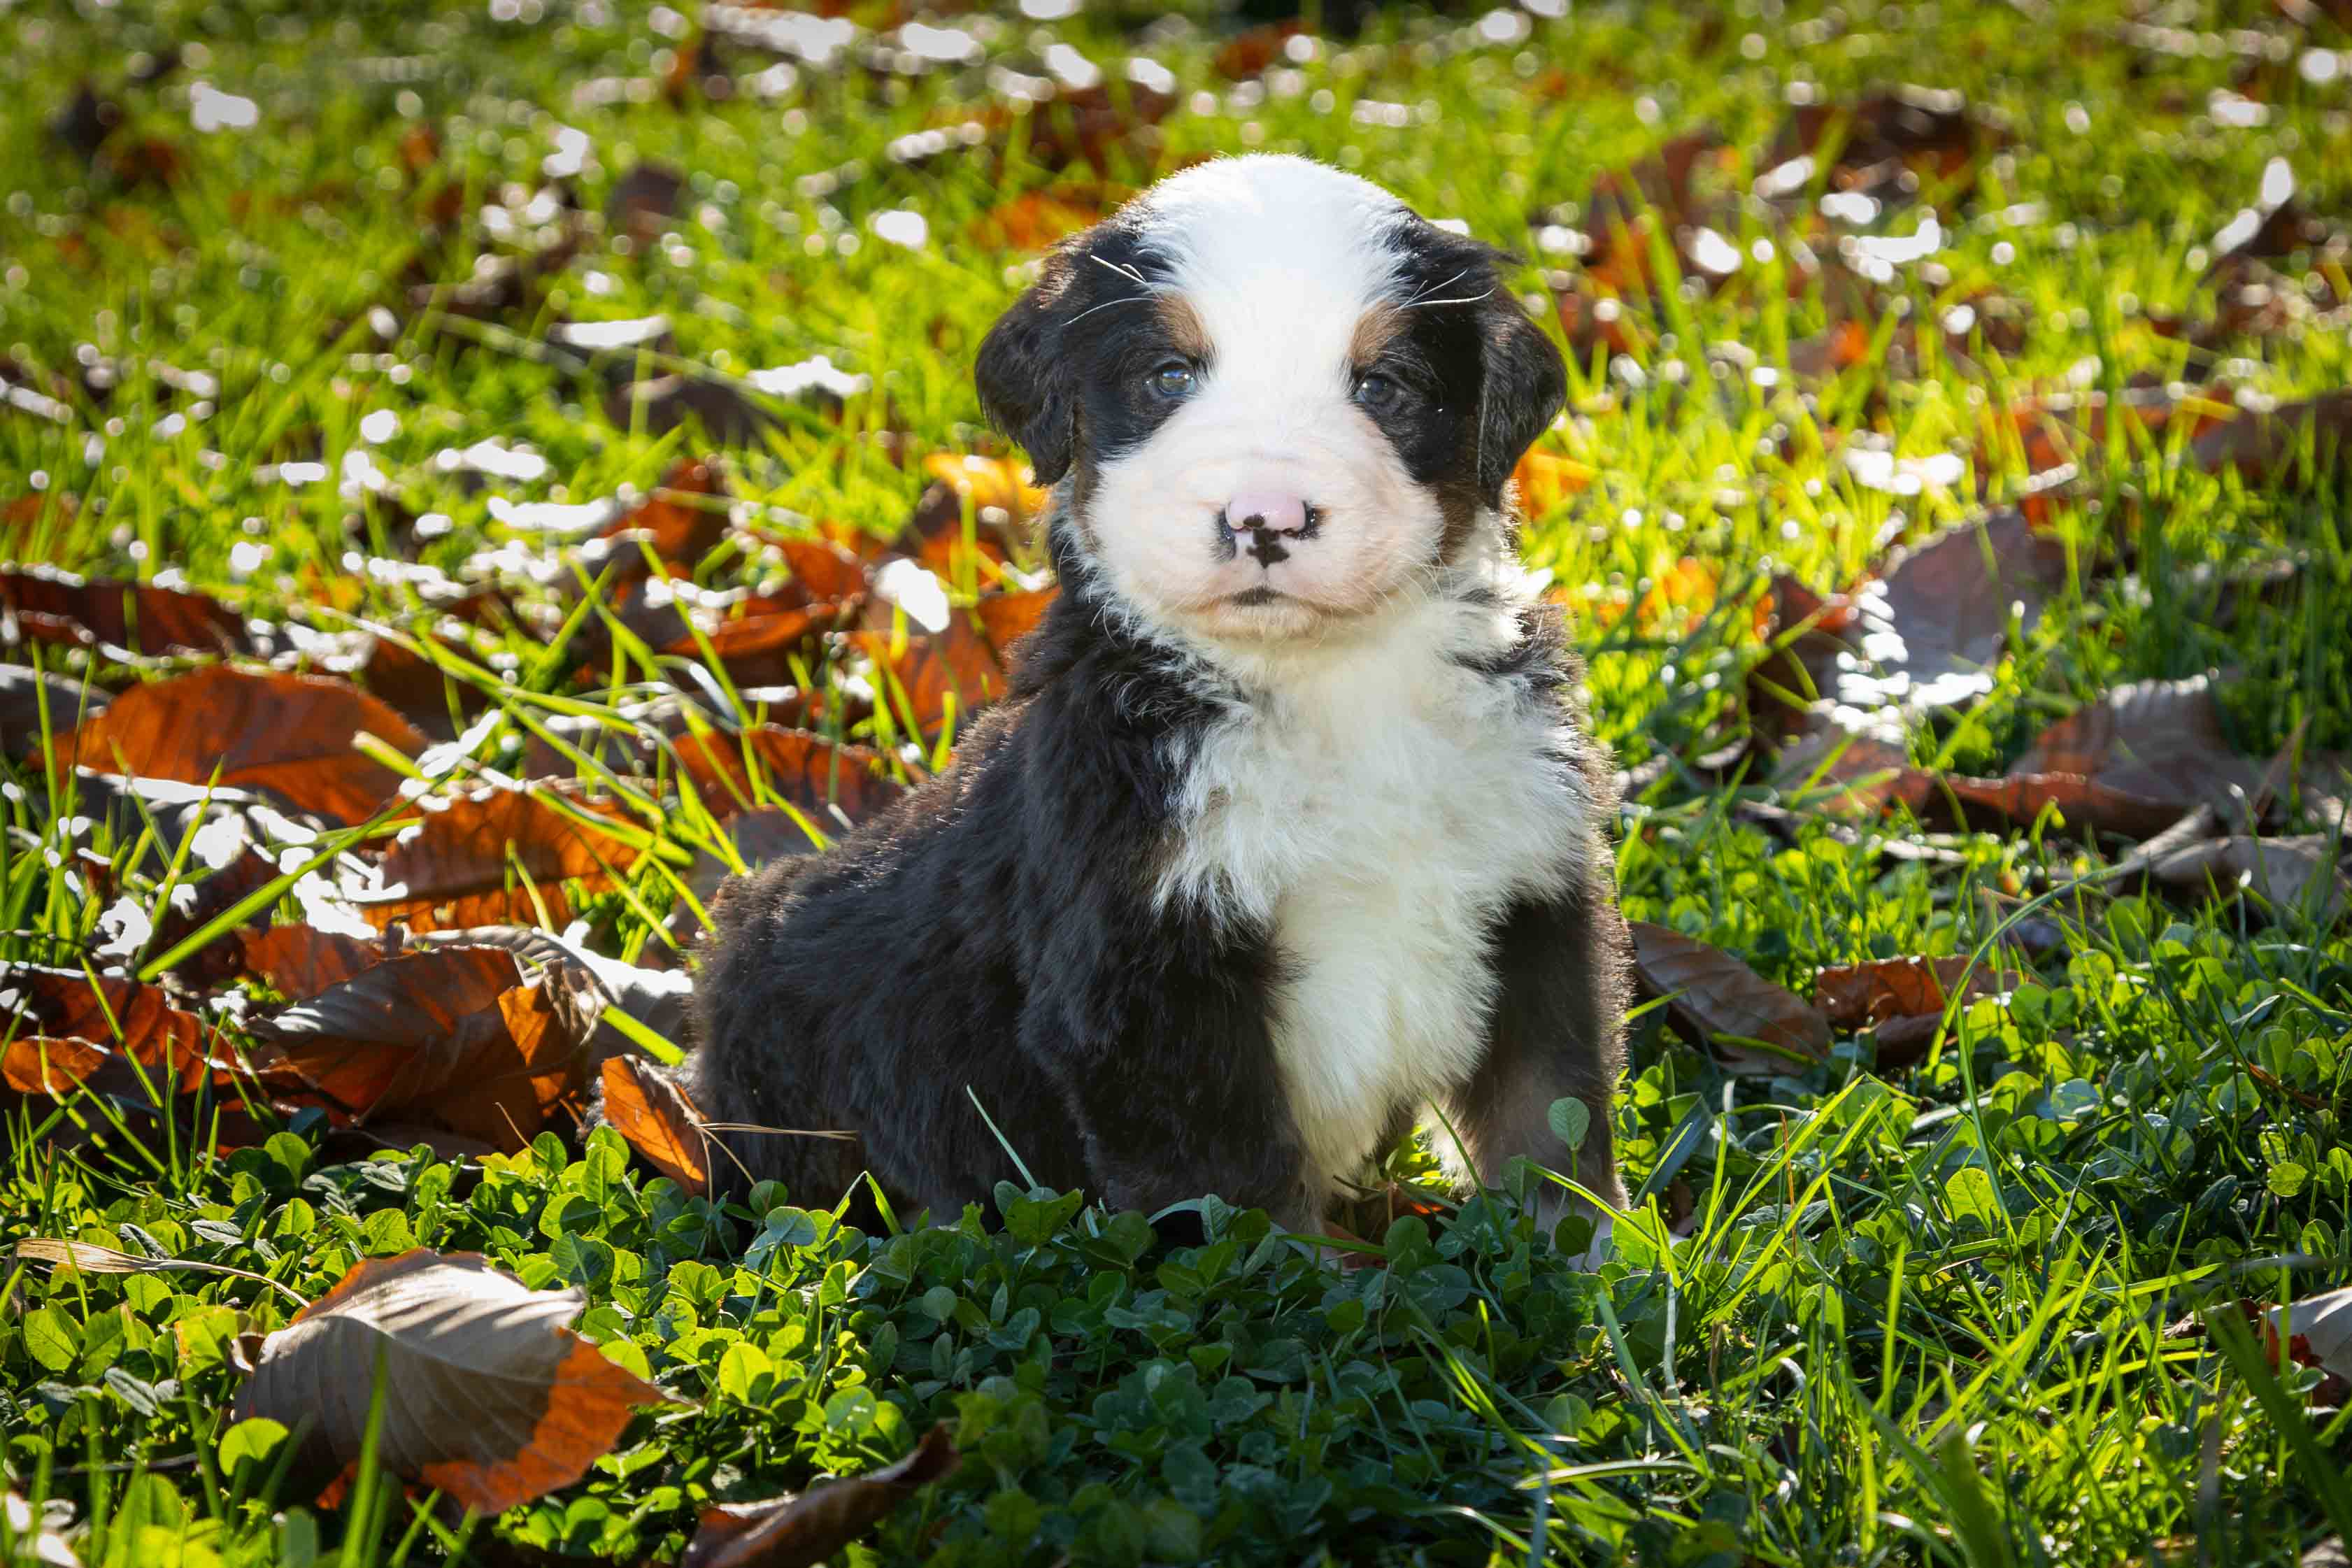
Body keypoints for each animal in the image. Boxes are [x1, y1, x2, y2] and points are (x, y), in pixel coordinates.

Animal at [686, 150, 1627, 1250]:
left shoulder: (1532, 894)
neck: (1328, 688)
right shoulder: (1145, 973)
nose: (1265, 516)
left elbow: (1548, 1119)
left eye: (1381, 386)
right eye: (1169, 377)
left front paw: (1598, 1268)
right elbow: (1242, 1202)